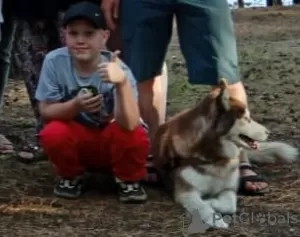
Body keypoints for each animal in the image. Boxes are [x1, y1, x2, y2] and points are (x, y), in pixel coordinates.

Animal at [152, 78, 298, 229]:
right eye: (246, 118)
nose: (268, 132)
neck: (216, 158)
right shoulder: (186, 192)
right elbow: (202, 206)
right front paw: (214, 218)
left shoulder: (228, 189)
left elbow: (229, 205)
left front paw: (211, 201)